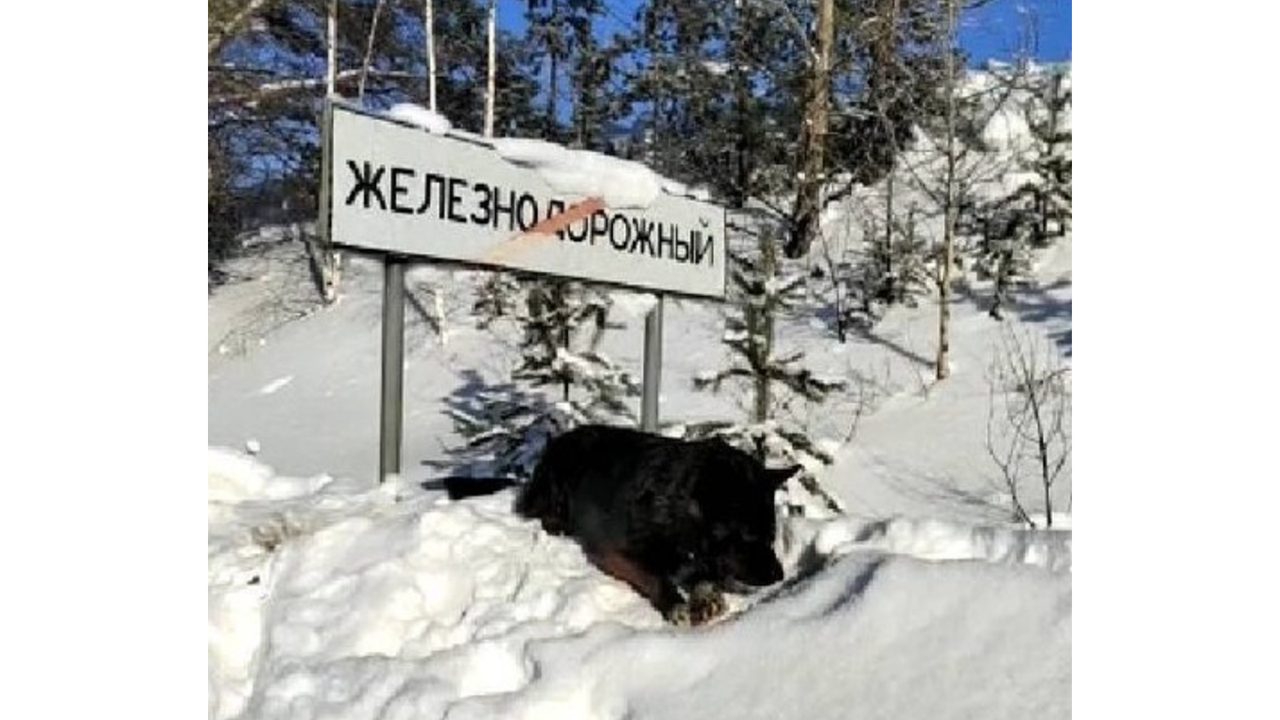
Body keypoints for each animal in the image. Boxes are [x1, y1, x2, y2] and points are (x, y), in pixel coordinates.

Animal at [512, 422, 793, 620]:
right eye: (749, 536)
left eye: (772, 536)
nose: (779, 576)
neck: (675, 509)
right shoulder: (611, 553)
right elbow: (653, 575)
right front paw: (675, 603)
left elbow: (702, 576)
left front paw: (705, 594)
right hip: (558, 479)